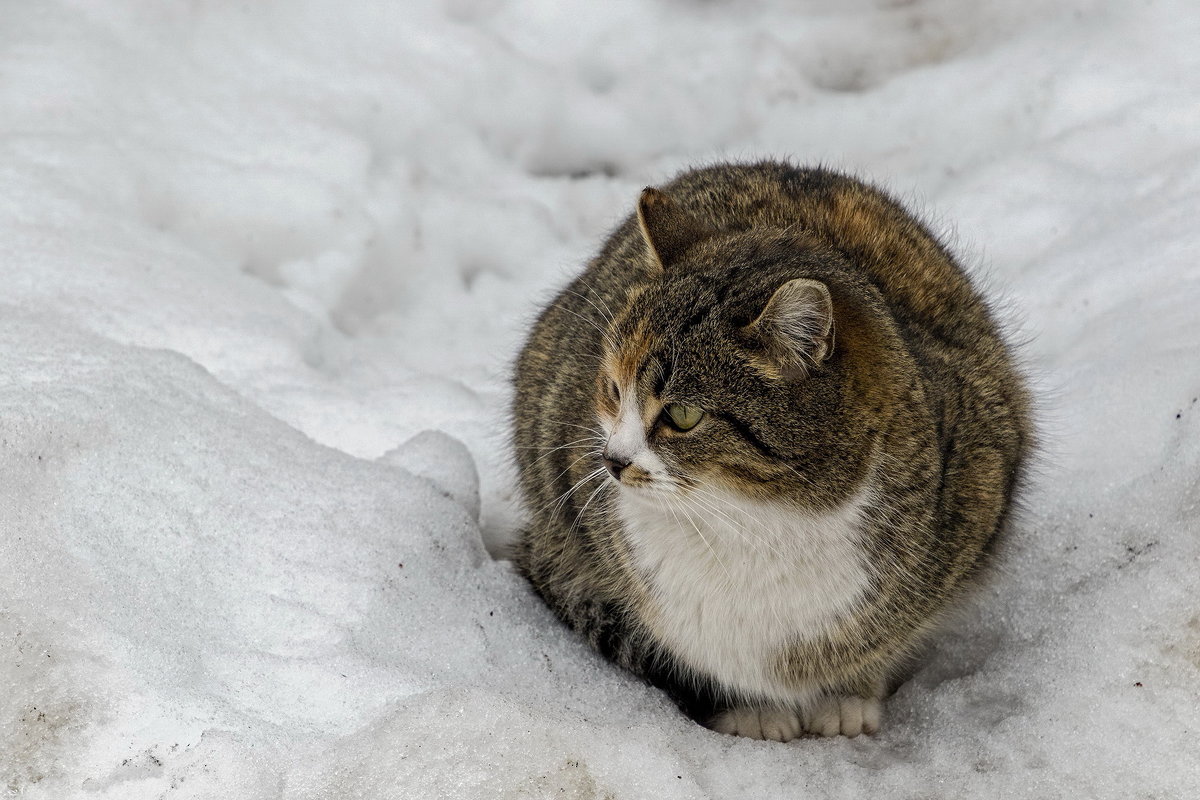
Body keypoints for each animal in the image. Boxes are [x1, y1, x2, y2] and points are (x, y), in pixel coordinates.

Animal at [508, 163, 1032, 743]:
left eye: (682, 416)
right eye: (613, 388)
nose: (613, 462)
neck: (753, 521)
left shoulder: (978, 481)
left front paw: (847, 696)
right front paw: (750, 709)